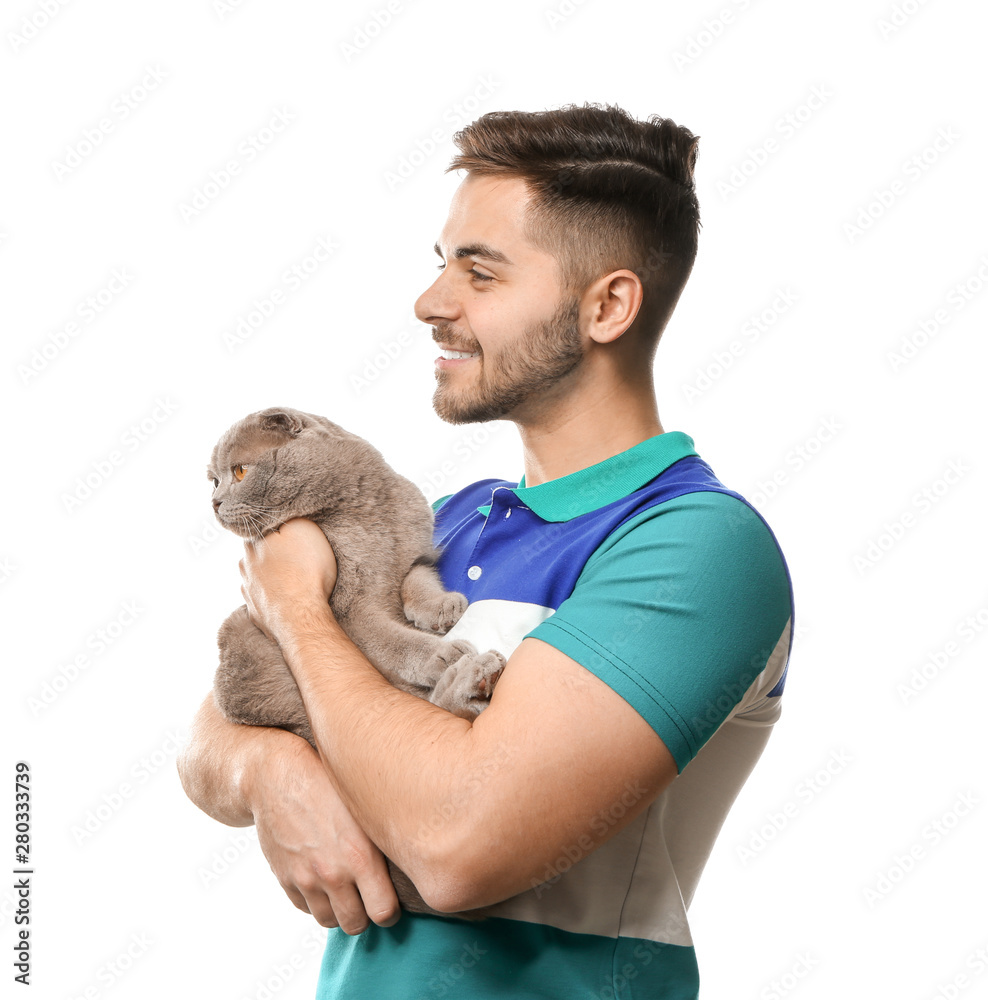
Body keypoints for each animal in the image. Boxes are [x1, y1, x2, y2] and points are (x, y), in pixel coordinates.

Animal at [206, 406, 502, 920]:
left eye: (239, 472)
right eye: (214, 479)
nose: (214, 502)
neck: (364, 515)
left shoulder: (412, 556)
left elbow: (415, 582)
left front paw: (441, 607)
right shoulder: (349, 612)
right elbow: (393, 640)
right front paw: (438, 650)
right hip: (254, 658)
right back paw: (466, 678)